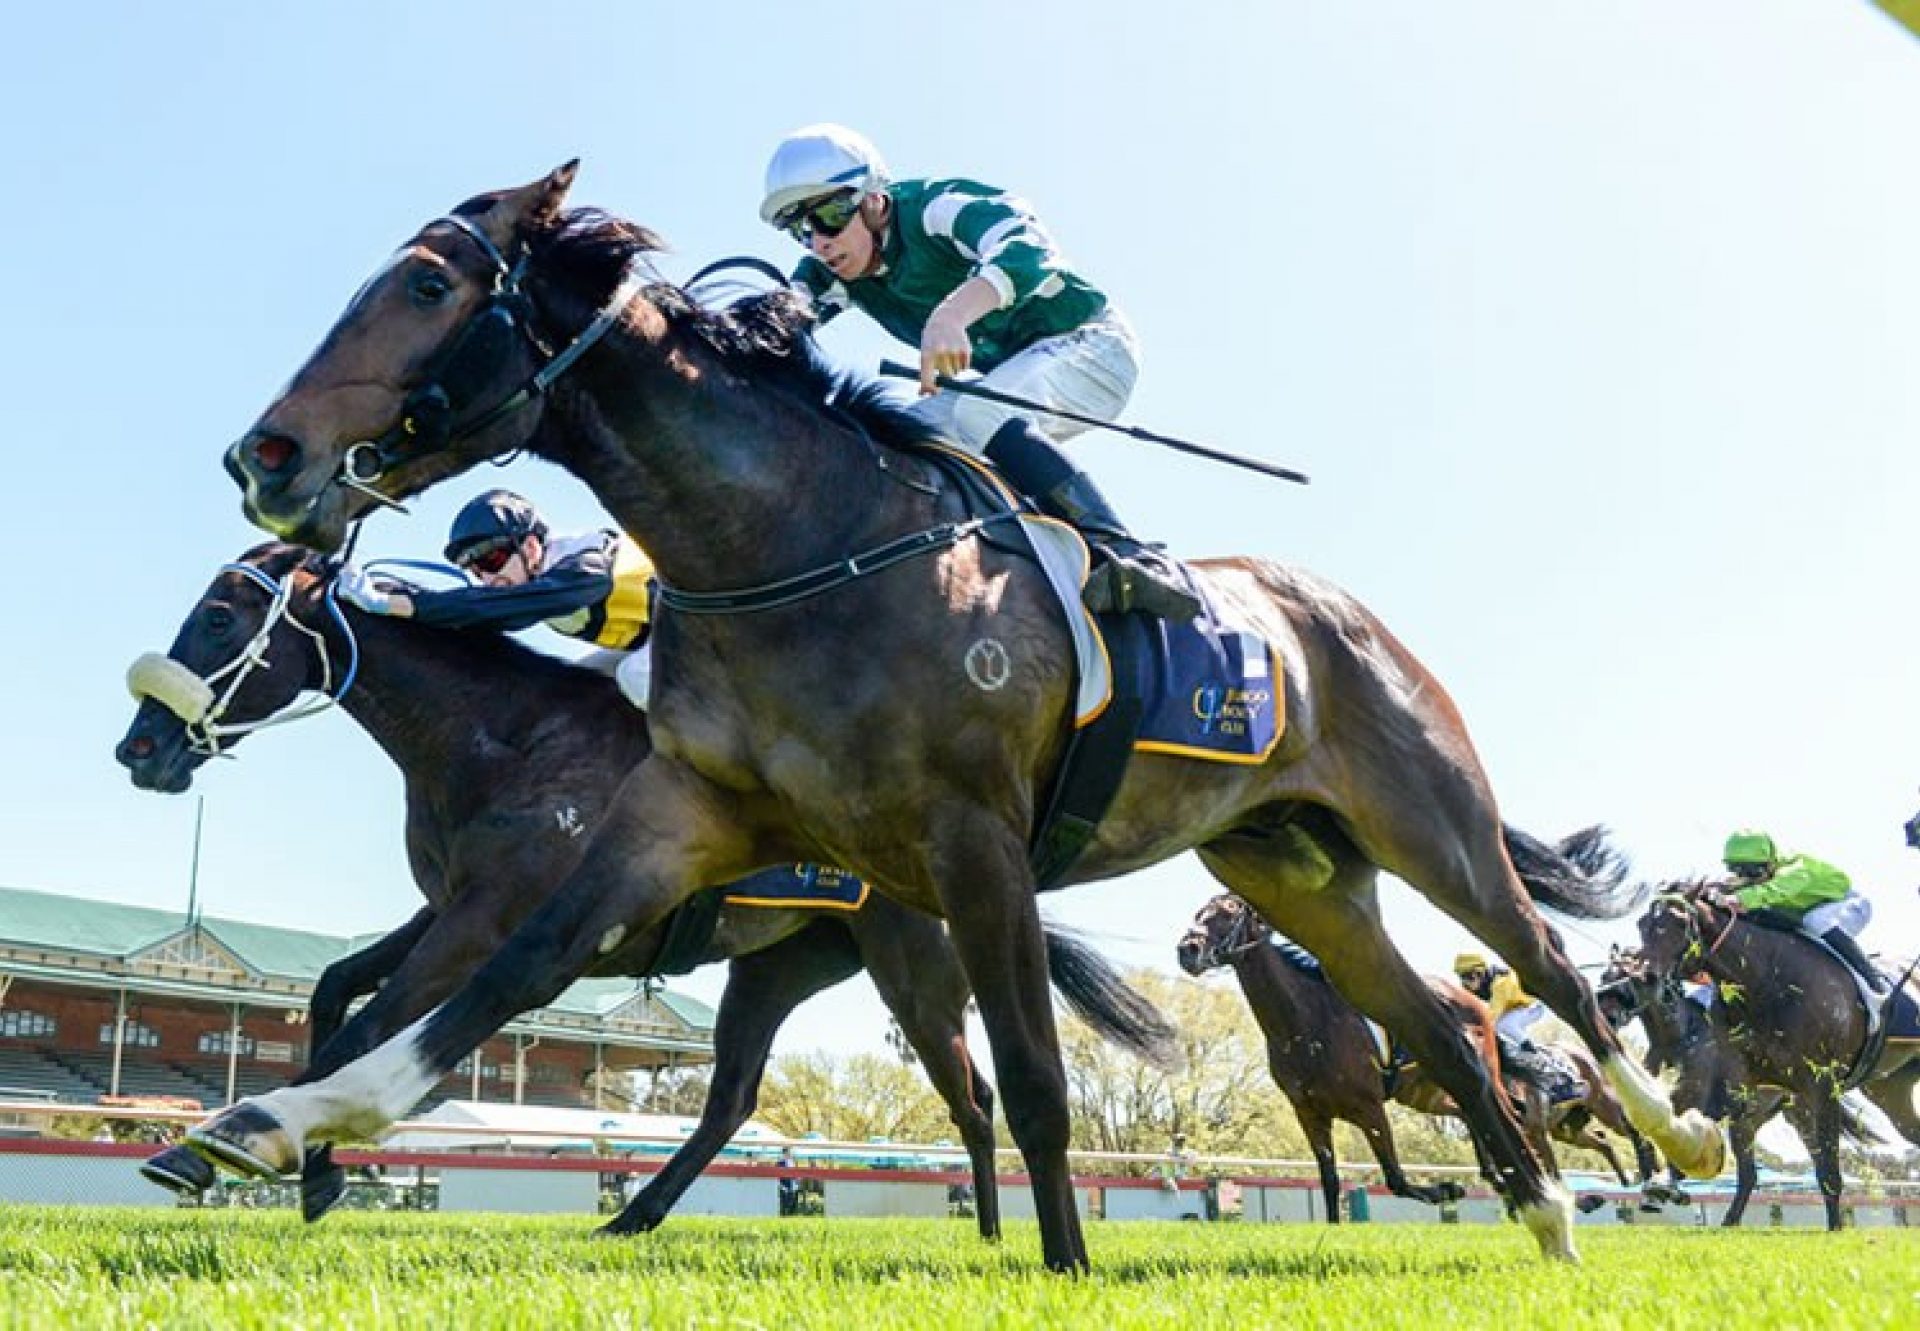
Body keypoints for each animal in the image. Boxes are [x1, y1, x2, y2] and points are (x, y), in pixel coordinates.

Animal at [116, 541, 1167, 1236]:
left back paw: (989, 1232)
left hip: (913, 958)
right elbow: (338, 988)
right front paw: (314, 1171)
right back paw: (634, 1216)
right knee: (731, 1098)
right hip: (776, 966)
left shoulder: (488, 915)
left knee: (972, 1096)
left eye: (219, 615)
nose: (140, 748)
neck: (500, 735)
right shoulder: (450, 903)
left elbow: (374, 1022)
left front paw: (212, 1151)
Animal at [1175, 887, 1658, 1221]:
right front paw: (1332, 1230)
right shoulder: (1309, 1112)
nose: (1187, 950)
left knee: (1588, 1125)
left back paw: (1640, 1179)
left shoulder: (1368, 1106)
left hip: (1563, 1094)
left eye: (1226, 913)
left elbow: (1395, 1177)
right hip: (1429, 1091)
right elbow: (1329, 1181)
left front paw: (1447, 1190)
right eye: (1198, 912)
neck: (1303, 1025)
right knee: (1488, 1118)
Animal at [1635, 883, 1920, 1221]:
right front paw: (1664, 1186)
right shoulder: (1736, 1081)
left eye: (1678, 923)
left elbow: (1829, 1173)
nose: (1643, 978)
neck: (1767, 982)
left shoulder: (1823, 1083)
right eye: (1642, 925)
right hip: (1888, 1092)